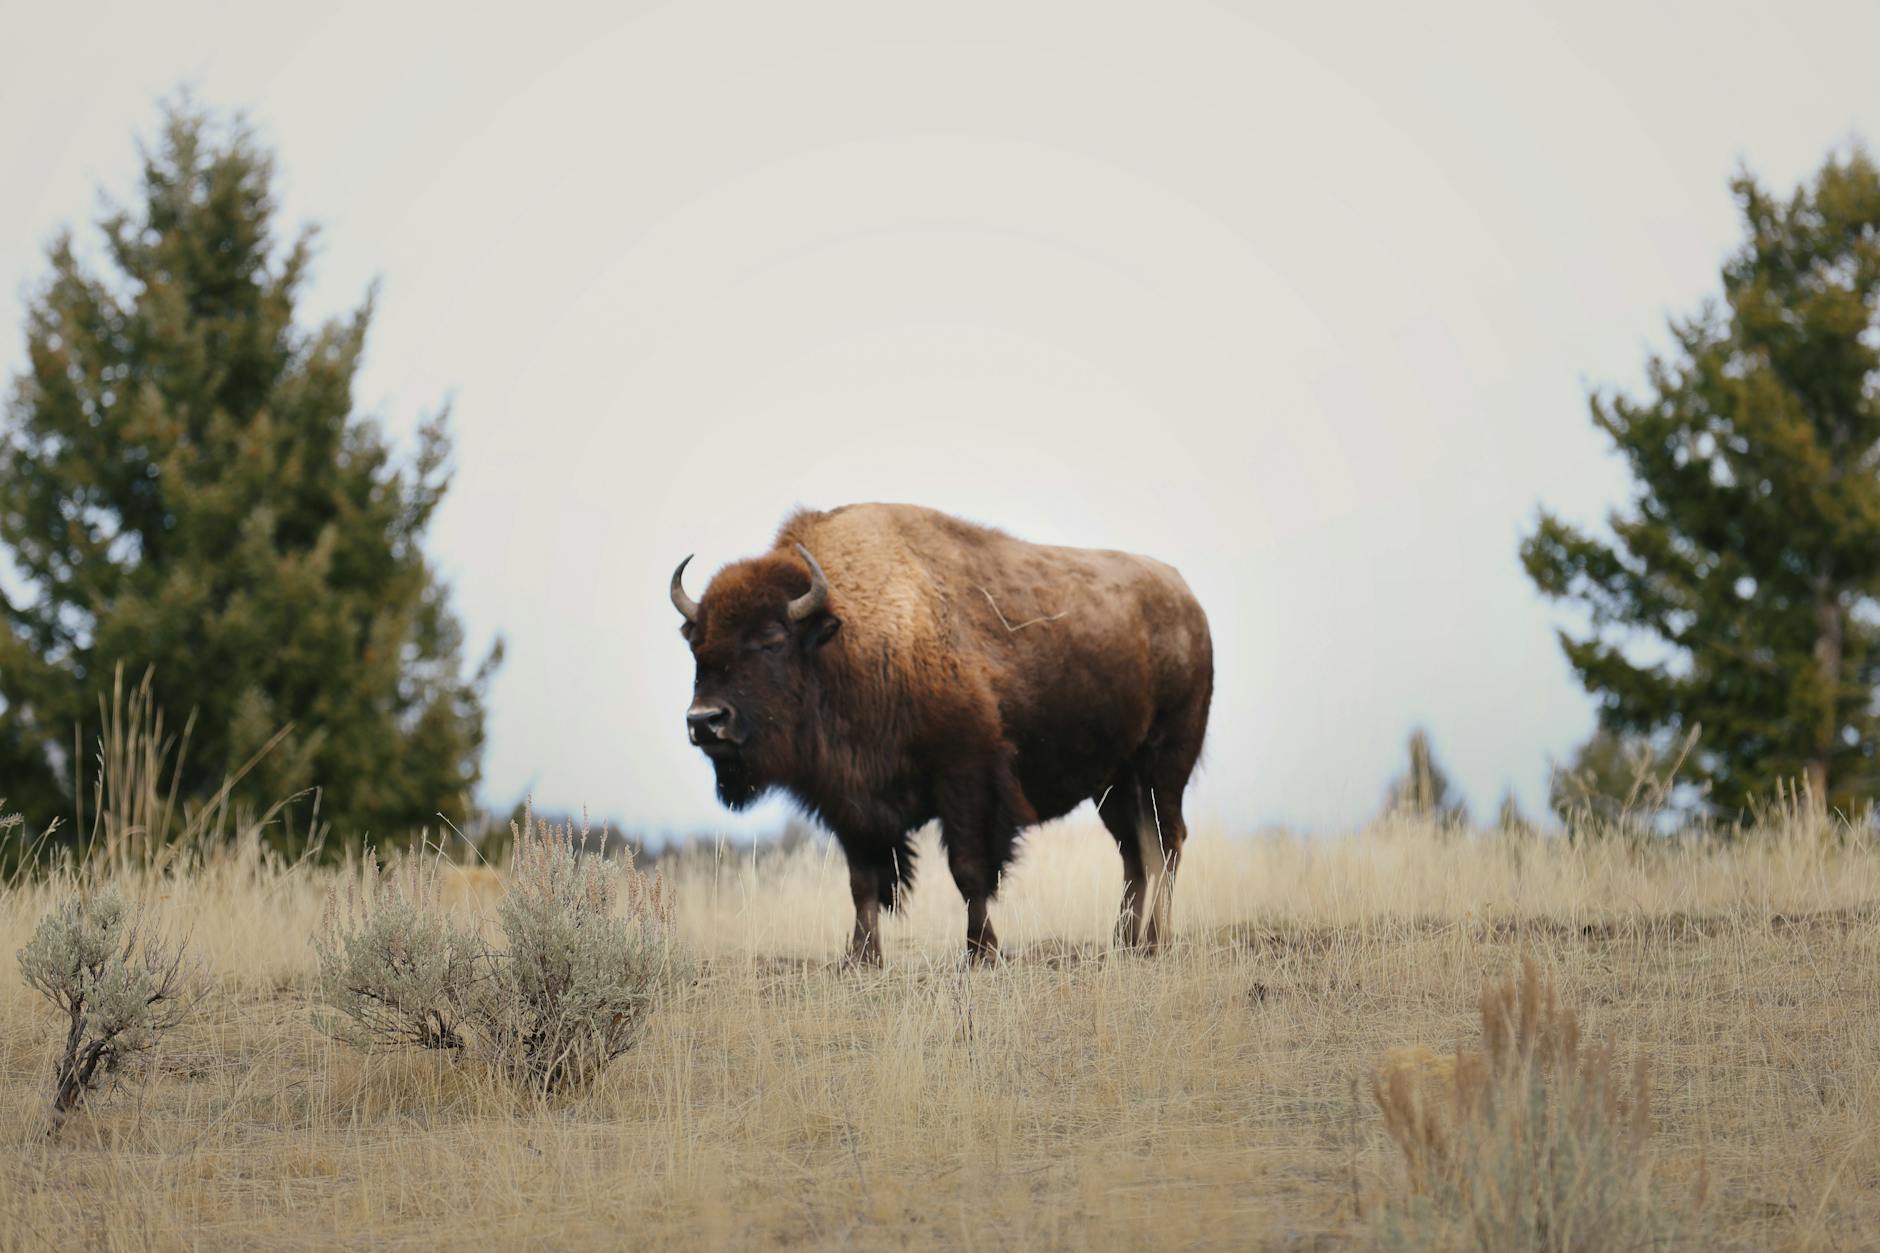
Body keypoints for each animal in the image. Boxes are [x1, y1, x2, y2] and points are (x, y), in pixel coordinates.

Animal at [670, 503, 1213, 964]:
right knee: (1134, 852)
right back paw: (1124, 943)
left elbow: (968, 871)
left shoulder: (966, 778)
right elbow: (863, 882)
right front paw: (861, 959)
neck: (849, 636)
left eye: (771, 641)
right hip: (1113, 784)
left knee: (1166, 842)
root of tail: (1188, 602)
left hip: (1164, 765)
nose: (704, 721)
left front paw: (981, 953)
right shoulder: (850, 802)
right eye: (697, 648)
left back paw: (1155, 942)